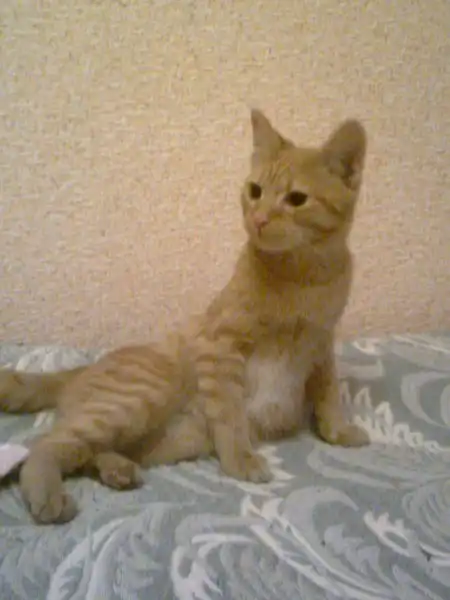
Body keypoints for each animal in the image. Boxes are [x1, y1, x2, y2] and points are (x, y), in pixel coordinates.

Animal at [0, 109, 370, 524]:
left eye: (296, 199)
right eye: (255, 191)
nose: (258, 218)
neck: (303, 279)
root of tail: (82, 369)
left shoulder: (322, 346)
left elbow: (328, 394)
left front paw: (339, 430)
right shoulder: (220, 346)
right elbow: (230, 413)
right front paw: (241, 459)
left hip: (169, 440)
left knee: (86, 451)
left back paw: (117, 469)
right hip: (138, 399)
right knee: (45, 444)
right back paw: (47, 491)